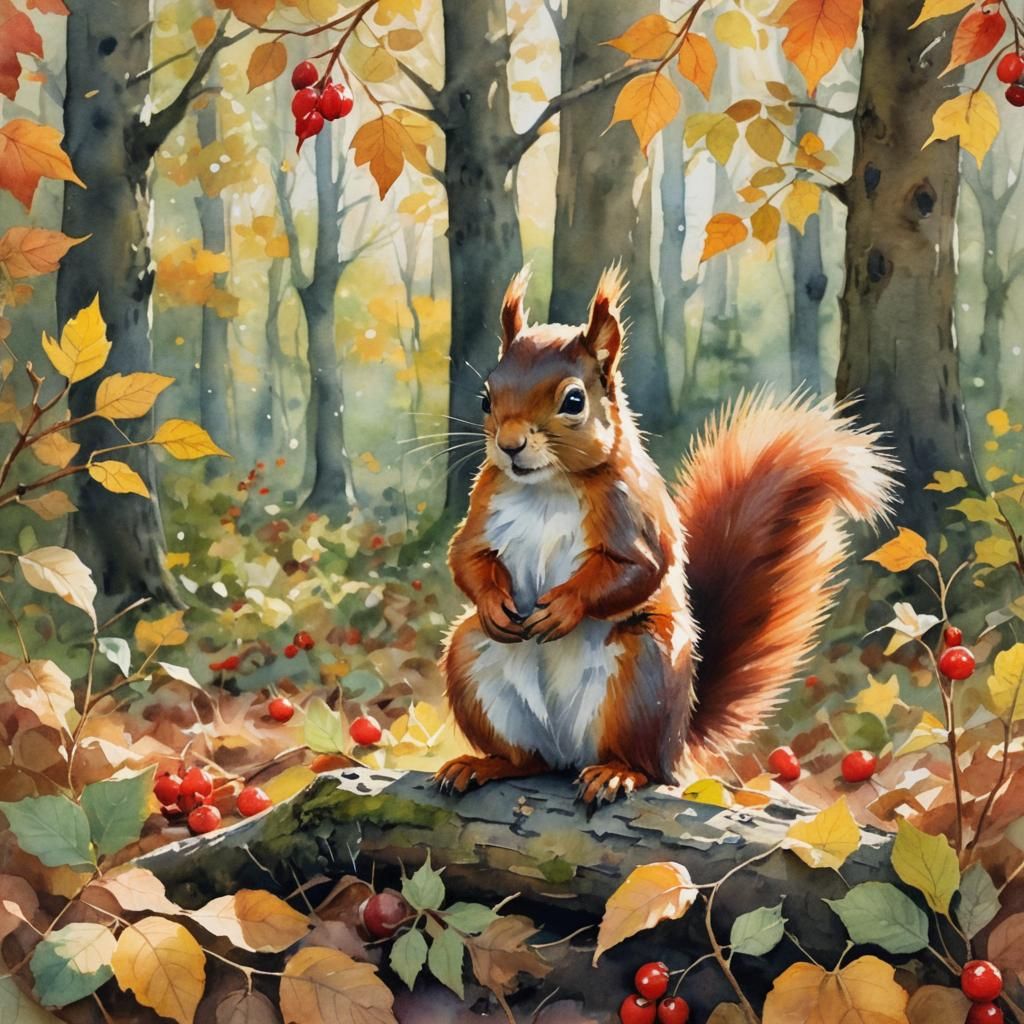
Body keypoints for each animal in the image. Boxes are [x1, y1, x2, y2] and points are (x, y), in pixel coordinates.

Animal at [434, 265, 897, 806]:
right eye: (486, 397)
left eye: (574, 401)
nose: (508, 446)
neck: (546, 486)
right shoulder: (485, 505)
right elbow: (465, 557)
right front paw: (493, 603)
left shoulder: (635, 513)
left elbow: (641, 568)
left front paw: (565, 606)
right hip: (471, 661)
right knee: (526, 759)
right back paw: (483, 764)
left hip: (644, 672)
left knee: (640, 763)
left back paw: (616, 773)